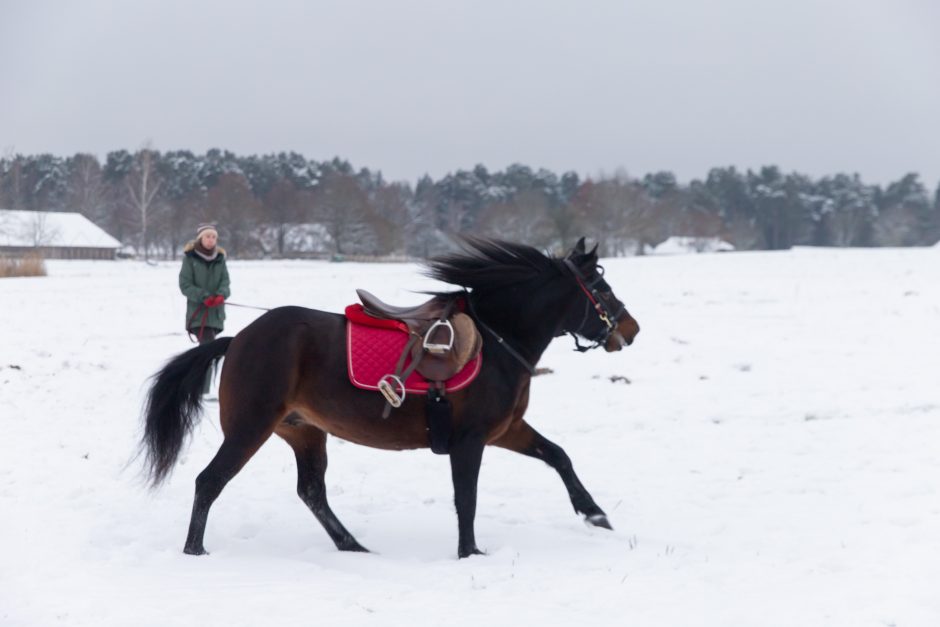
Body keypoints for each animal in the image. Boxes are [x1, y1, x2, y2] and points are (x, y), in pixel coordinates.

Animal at [141, 237, 640, 560]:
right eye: (601, 289)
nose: (631, 329)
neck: (497, 342)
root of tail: (238, 339)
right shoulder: (470, 440)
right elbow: (467, 497)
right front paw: (470, 552)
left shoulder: (505, 430)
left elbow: (558, 456)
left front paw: (595, 515)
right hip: (251, 427)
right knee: (209, 481)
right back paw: (194, 550)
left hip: (305, 432)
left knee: (312, 491)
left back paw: (353, 546)